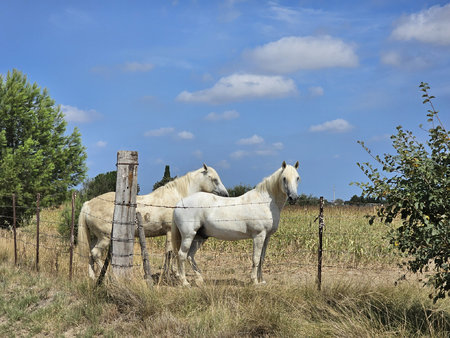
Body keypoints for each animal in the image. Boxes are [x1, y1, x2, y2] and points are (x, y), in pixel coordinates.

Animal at [77, 163, 229, 278]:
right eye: (214, 179)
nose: (226, 194)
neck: (176, 197)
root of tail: (88, 204)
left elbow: (170, 253)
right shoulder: (170, 232)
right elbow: (171, 252)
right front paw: (173, 274)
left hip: (96, 237)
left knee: (90, 253)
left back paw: (92, 276)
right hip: (105, 238)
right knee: (95, 253)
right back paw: (107, 275)